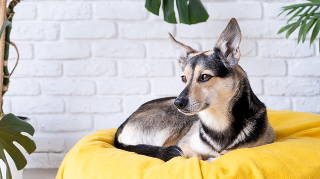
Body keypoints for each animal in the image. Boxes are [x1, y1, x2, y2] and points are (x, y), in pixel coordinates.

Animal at [114, 18, 276, 162]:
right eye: (183, 78)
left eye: (204, 76)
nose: (178, 103)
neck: (218, 122)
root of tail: (123, 125)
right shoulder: (182, 144)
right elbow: (195, 155)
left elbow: (225, 154)